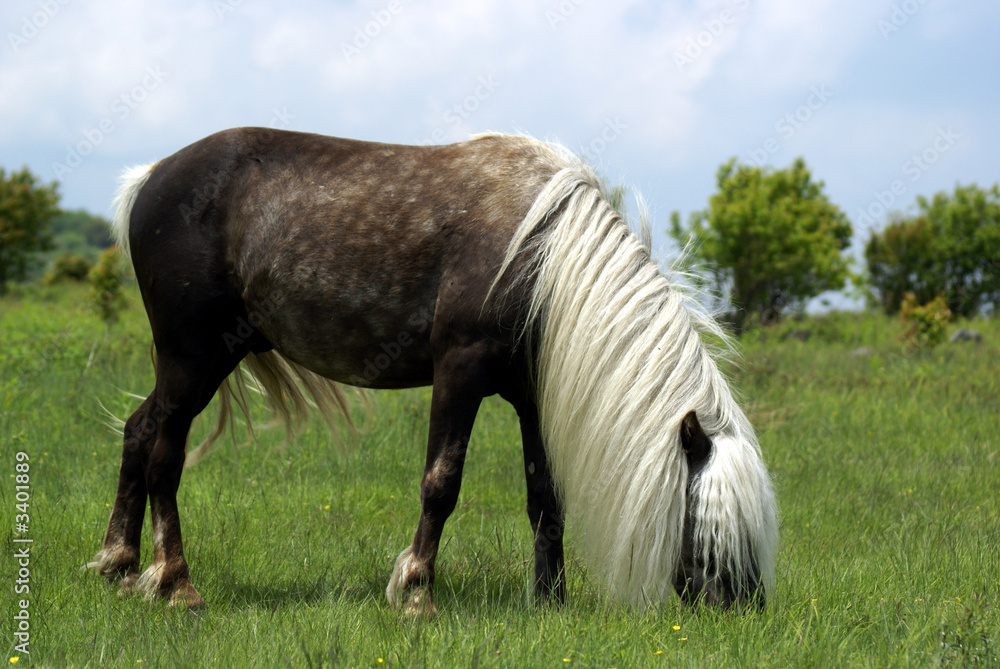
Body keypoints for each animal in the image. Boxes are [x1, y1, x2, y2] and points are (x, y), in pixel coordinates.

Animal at [88, 127, 778, 615]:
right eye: (711, 528)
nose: (743, 614)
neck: (542, 257)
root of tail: (150, 178)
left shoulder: (530, 398)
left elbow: (545, 498)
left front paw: (549, 602)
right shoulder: (459, 375)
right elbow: (441, 483)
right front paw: (417, 590)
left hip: (193, 364)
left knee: (138, 431)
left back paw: (118, 562)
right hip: (193, 359)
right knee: (164, 455)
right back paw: (176, 584)